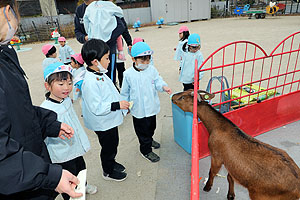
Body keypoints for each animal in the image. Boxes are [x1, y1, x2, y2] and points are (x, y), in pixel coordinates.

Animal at [171, 89, 300, 200]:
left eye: (182, 97)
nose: (172, 97)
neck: (218, 126)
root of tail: (297, 185)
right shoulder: (230, 163)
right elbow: (229, 177)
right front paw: (231, 195)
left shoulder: (217, 156)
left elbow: (212, 172)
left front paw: (207, 187)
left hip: (261, 195)